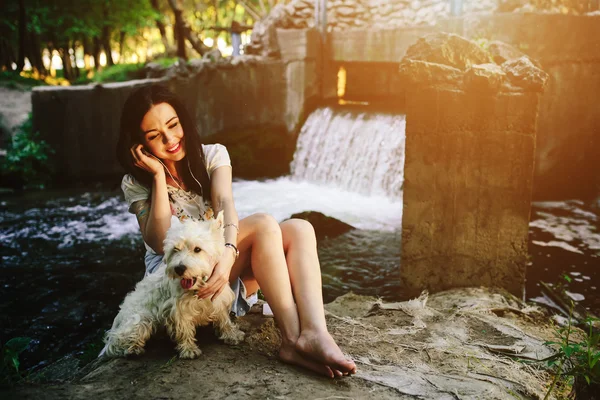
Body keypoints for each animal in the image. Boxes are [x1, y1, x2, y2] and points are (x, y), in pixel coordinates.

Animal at [102, 212, 244, 360]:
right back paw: (133, 349)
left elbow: (224, 319)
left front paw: (232, 335)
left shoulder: (218, 299)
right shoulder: (177, 309)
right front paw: (188, 349)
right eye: (175, 249)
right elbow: (184, 329)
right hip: (140, 319)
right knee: (118, 342)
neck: (196, 288)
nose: (179, 269)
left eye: (197, 249)